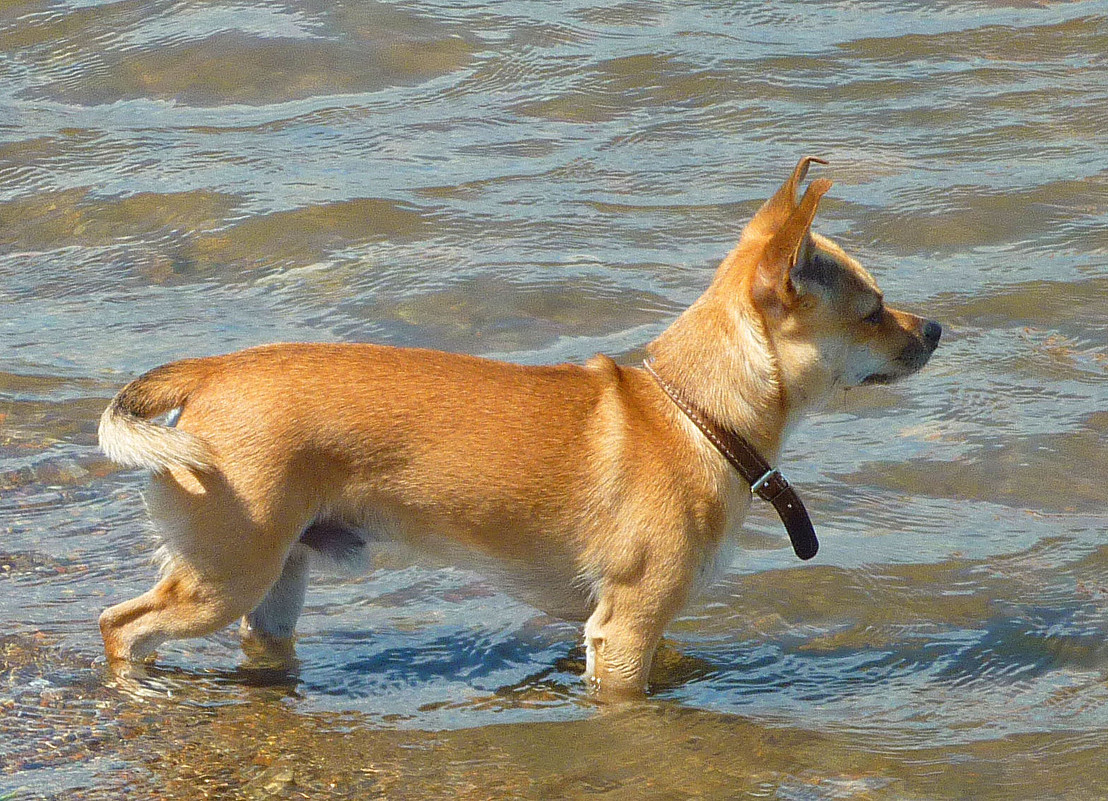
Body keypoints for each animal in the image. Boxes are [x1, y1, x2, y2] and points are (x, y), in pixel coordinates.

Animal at [97, 156, 944, 695]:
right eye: (873, 311)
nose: (935, 328)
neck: (697, 413)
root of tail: (210, 370)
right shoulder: (625, 630)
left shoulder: (633, 629)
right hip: (225, 578)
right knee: (121, 625)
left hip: (276, 588)